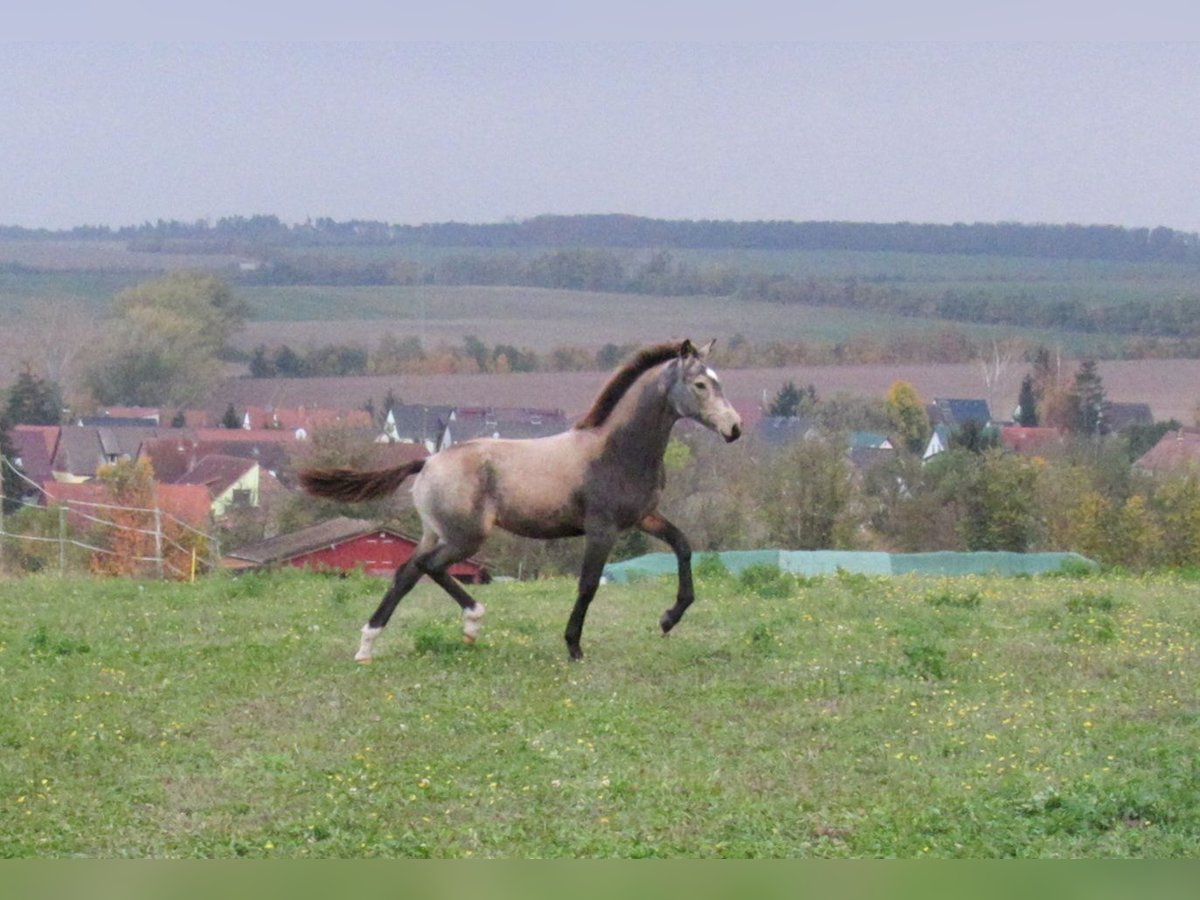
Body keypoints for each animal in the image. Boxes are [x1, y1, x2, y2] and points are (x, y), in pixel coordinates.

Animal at [300, 338, 739, 662]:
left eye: (717, 381)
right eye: (700, 385)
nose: (734, 428)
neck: (617, 450)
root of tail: (429, 459)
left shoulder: (644, 517)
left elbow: (683, 546)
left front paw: (668, 619)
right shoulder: (603, 529)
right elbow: (588, 584)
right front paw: (574, 646)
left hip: (435, 533)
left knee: (407, 572)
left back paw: (368, 645)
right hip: (465, 538)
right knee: (429, 567)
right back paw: (471, 622)